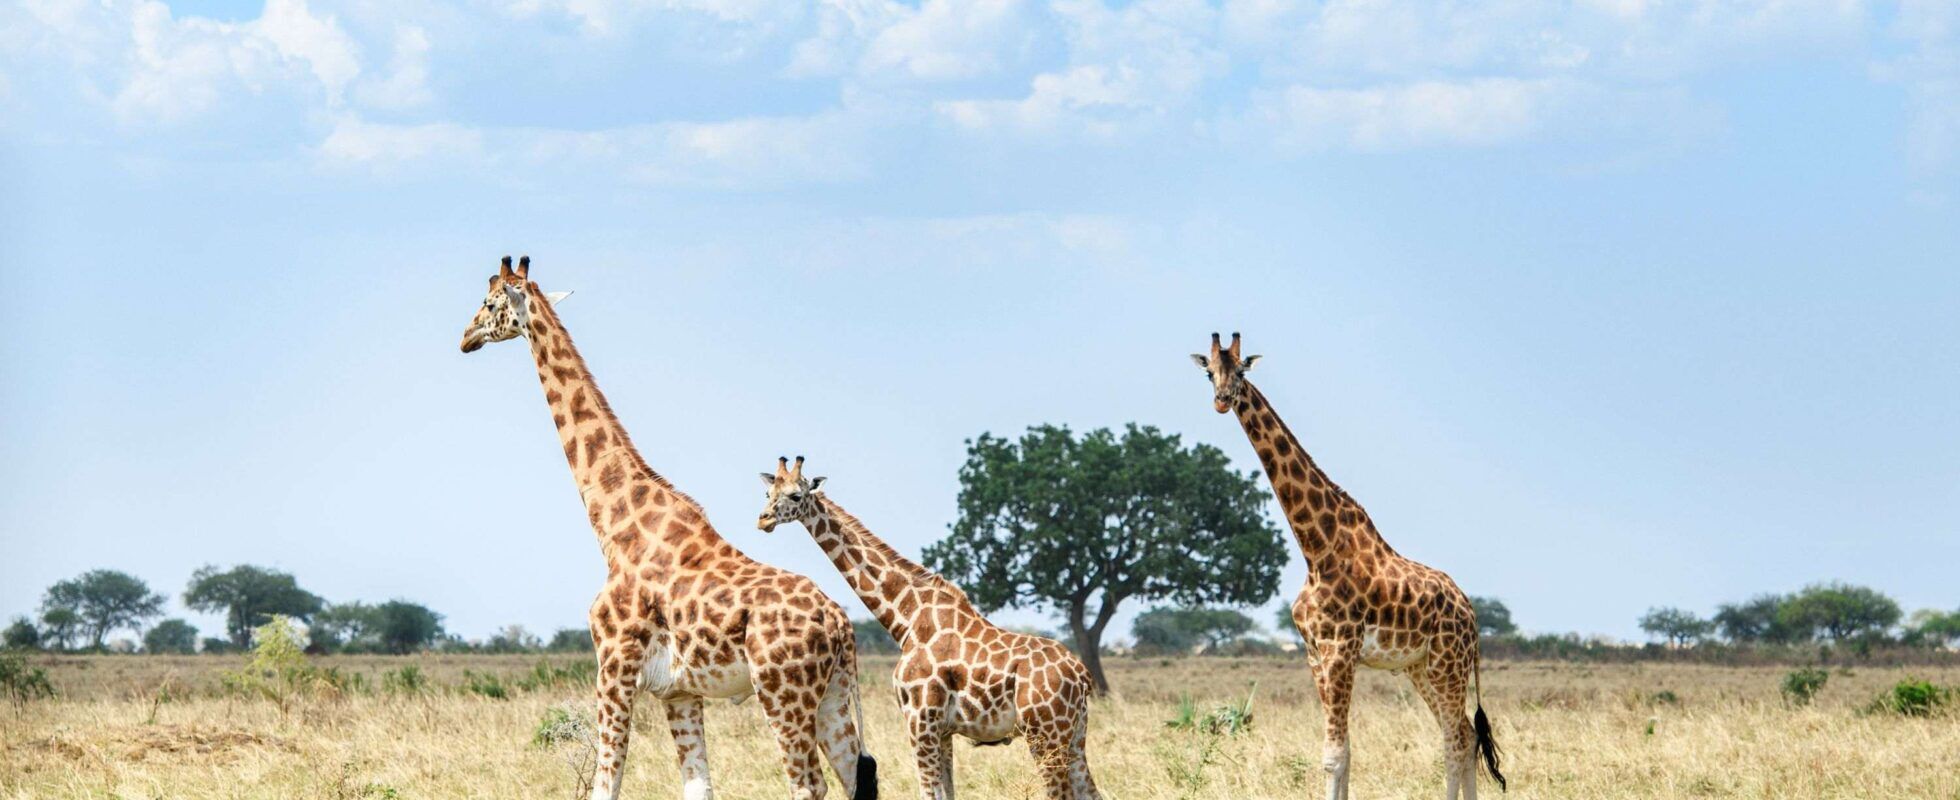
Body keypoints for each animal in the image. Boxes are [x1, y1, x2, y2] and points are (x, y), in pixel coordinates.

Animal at [456, 256, 874, 800]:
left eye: (489, 304)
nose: (464, 337)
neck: (615, 530)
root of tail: (840, 623)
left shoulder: (613, 665)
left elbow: (605, 785)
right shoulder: (678, 691)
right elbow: (697, 787)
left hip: (784, 692)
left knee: (808, 785)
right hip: (833, 696)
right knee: (856, 775)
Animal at [752, 456, 1105, 800]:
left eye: (795, 496)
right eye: (768, 493)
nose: (763, 520)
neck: (906, 619)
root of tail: (1082, 675)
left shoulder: (920, 720)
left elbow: (928, 792)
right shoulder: (943, 730)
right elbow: (947, 793)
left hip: (1045, 733)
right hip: (1074, 733)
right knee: (1090, 791)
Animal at [1183, 333, 1505, 800]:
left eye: (1241, 371)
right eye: (1209, 372)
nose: (1222, 401)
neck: (1316, 549)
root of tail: (1472, 613)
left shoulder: (1340, 651)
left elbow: (1334, 755)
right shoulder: (1316, 655)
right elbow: (1343, 753)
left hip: (1449, 662)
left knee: (1458, 737)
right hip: (1421, 666)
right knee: (1462, 731)